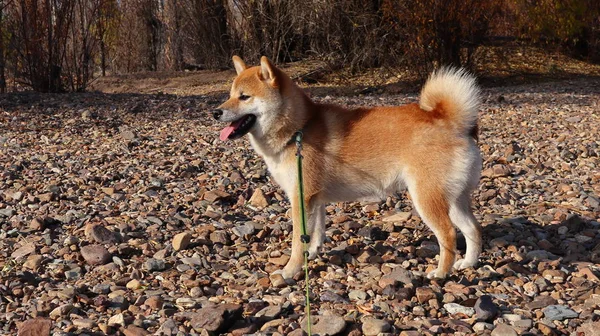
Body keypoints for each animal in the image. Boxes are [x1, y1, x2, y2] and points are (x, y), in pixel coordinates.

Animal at [216, 55, 482, 280]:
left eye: (244, 96)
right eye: (230, 94)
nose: (215, 111)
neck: (299, 129)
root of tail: (452, 121)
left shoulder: (300, 198)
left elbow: (297, 241)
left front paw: (290, 270)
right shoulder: (314, 198)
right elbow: (315, 233)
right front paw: (312, 254)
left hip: (427, 198)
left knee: (448, 234)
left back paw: (441, 273)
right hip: (454, 199)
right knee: (473, 229)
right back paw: (467, 263)